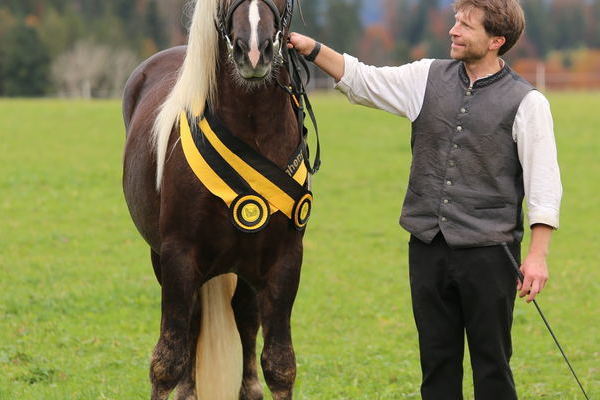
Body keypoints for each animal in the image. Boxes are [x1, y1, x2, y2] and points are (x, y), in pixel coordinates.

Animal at [119, 0, 312, 400]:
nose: (252, 49)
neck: (253, 131)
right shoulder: (179, 256)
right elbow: (167, 360)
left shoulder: (284, 260)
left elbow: (280, 364)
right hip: (165, 259)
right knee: (193, 324)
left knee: (245, 321)